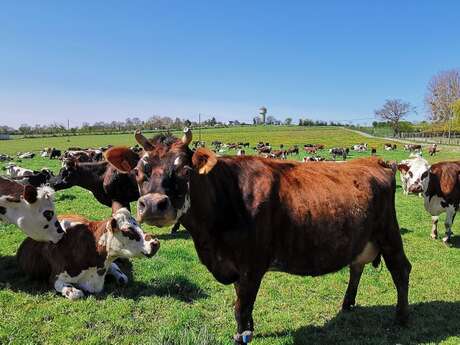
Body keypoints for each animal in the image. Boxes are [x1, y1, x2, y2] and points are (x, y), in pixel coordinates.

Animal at [17, 207, 161, 298]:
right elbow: (75, 294)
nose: (155, 243)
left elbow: (123, 278)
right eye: (128, 231)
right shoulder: (55, 277)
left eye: (139, 226)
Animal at [105, 128, 414, 342]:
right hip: (361, 238)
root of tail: (374, 160)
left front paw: (242, 335)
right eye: (139, 170)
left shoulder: (252, 265)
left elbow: (241, 305)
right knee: (356, 266)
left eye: (185, 169)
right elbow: (242, 302)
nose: (153, 204)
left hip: (389, 233)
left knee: (401, 269)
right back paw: (348, 303)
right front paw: (249, 329)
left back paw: (401, 317)